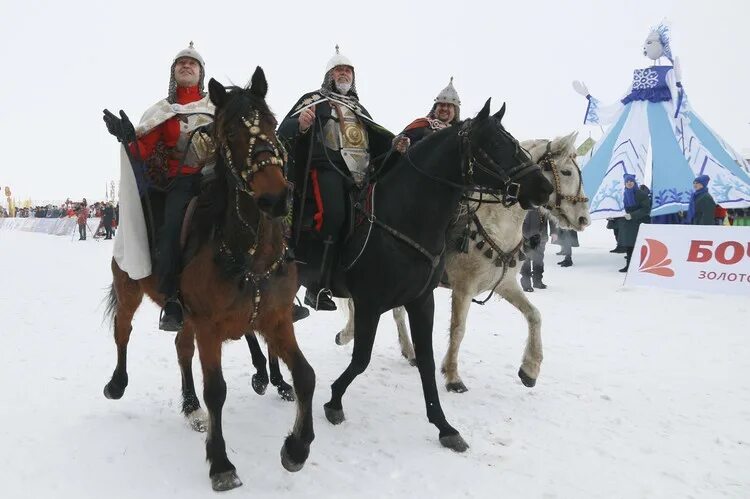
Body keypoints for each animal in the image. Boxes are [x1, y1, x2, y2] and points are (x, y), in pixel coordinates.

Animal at [103, 68, 314, 494]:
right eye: (230, 131)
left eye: (271, 124)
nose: (275, 198)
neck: (251, 253)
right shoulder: (209, 327)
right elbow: (216, 391)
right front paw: (221, 464)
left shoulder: (276, 319)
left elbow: (305, 376)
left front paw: (296, 449)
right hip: (129, 287)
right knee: (122, 330)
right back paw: (117, 384)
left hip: (186, 316)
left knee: (181, 349)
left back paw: (190, 408)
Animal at [290, 99, 556, 452]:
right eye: (496, 143)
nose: (544, 187)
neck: (402, 218)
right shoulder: (372, 302)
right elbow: (361, 358)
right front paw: (334, 401)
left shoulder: (423, 300)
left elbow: (429, 362)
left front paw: (445, 426)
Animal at [338, 134, 592, 394]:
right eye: (566, 172)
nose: (584, 218)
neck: (495, 223)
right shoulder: (463, 288)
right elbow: (458, 329)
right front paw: (453, 376)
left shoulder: (505, 284)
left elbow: (534, 315)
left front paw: (529, 370)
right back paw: (349, 334)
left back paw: (407, 350)